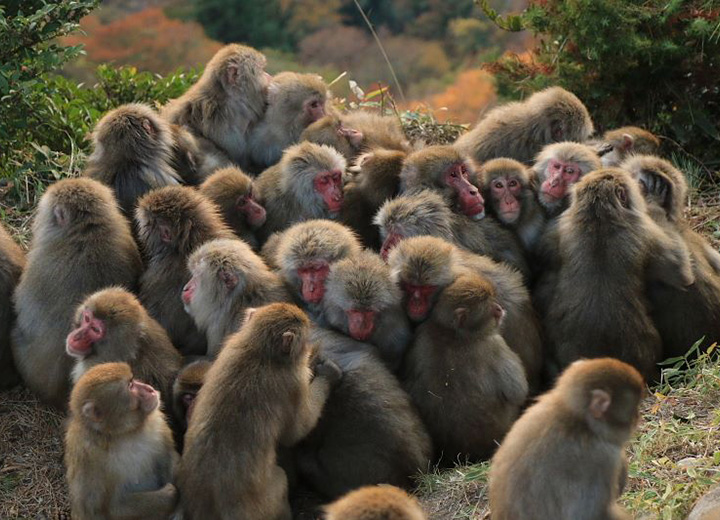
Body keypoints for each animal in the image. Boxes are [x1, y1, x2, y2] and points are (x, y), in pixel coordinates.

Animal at [65, 362, 178, 520]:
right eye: (130, 386)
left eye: (133, 379)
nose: (150, 389)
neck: (123, 433)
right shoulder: (86, 457)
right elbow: (108, 509)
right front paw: (168, 495)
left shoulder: (158, 425)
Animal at [177, 303, 342, 520]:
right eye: (305, 340)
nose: (307, 348)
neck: (257, 349)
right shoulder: (293, 381)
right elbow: (297, 431)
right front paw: (327, 374)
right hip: (266, 503)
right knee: (281, 481)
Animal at [404, 273, 528, 462]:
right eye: (491, 309)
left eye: (494, 302)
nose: (500, 309)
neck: (451, 331)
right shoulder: (495, 343)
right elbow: (518, 391)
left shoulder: (421, 334)